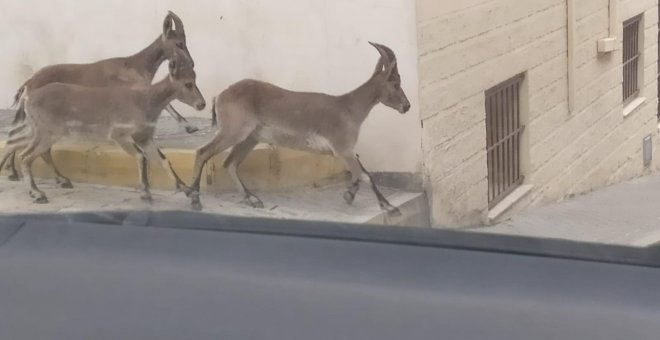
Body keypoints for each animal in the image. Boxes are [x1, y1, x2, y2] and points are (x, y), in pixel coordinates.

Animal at [0, 59, 206, 205]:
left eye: (195, 80)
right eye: (188, 83)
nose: (202, 104)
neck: (144, 102)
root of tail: (27, 98)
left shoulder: (144, 136)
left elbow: (162, 159)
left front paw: (189, 192)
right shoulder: (120, 135)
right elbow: (141, 157)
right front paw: (146, 193)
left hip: (39, 130)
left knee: (15, 141)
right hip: (46, 132)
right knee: (26, 156)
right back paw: (37, 193)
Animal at [3, 10, 200, 186]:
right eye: (179, 43)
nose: (191, 63)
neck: (135, 65)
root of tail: (28, 83)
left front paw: (189, 126)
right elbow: (168, 105)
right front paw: (189, 126)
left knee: (20, 137)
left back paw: (17, 171)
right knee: (26, 140)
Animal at [188, 41, 410, 215]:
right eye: (395, 82)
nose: (406, 106)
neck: (348, 108)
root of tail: (219, 96)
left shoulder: (345, 151)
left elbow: (361, 172)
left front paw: (349, 195)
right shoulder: (342, 149)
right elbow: (365, 175)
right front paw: (389, 207)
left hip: (250, 138)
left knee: (230, 163)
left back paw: (252, 199)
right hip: (233, 131)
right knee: (203, 152)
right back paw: (195, 199)